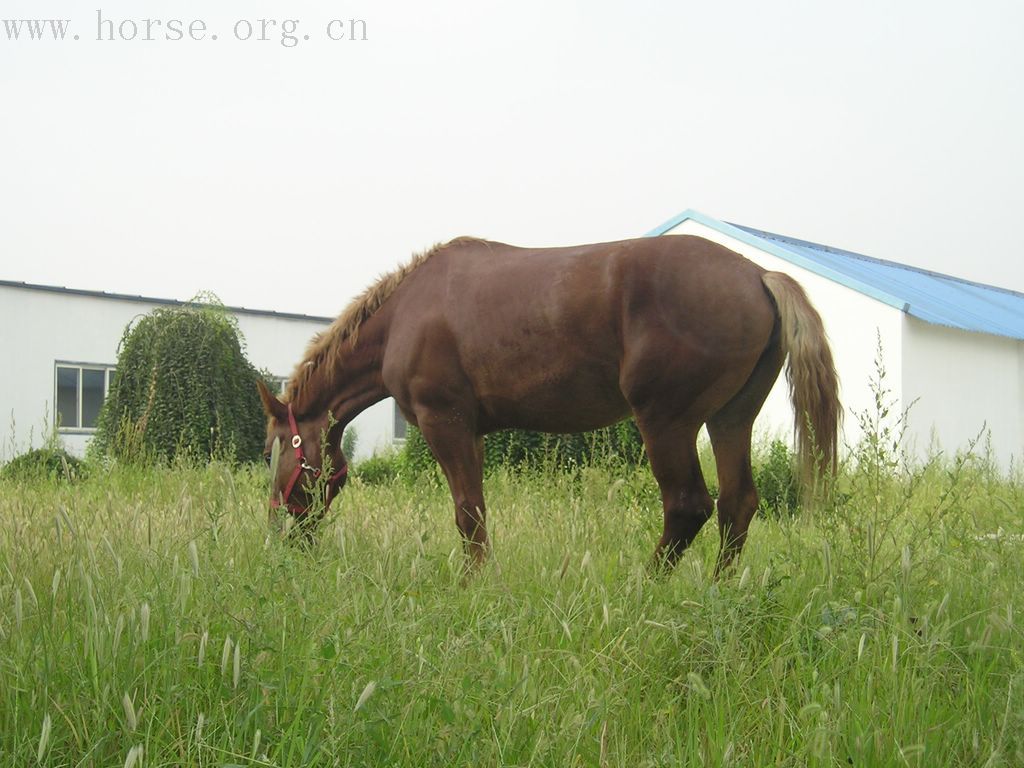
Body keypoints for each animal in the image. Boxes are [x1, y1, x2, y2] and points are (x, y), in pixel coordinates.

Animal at [256, 237, 839, 573]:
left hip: (666, 422)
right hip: (729, 419)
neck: (405, 313)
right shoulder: (471, 432)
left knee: (688, 506)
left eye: (272, 451)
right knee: (737, 505)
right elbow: (477, 511)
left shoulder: (445, 423)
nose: (282, 534)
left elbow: (468, 513)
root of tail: (758, 276)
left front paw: (474, 585)